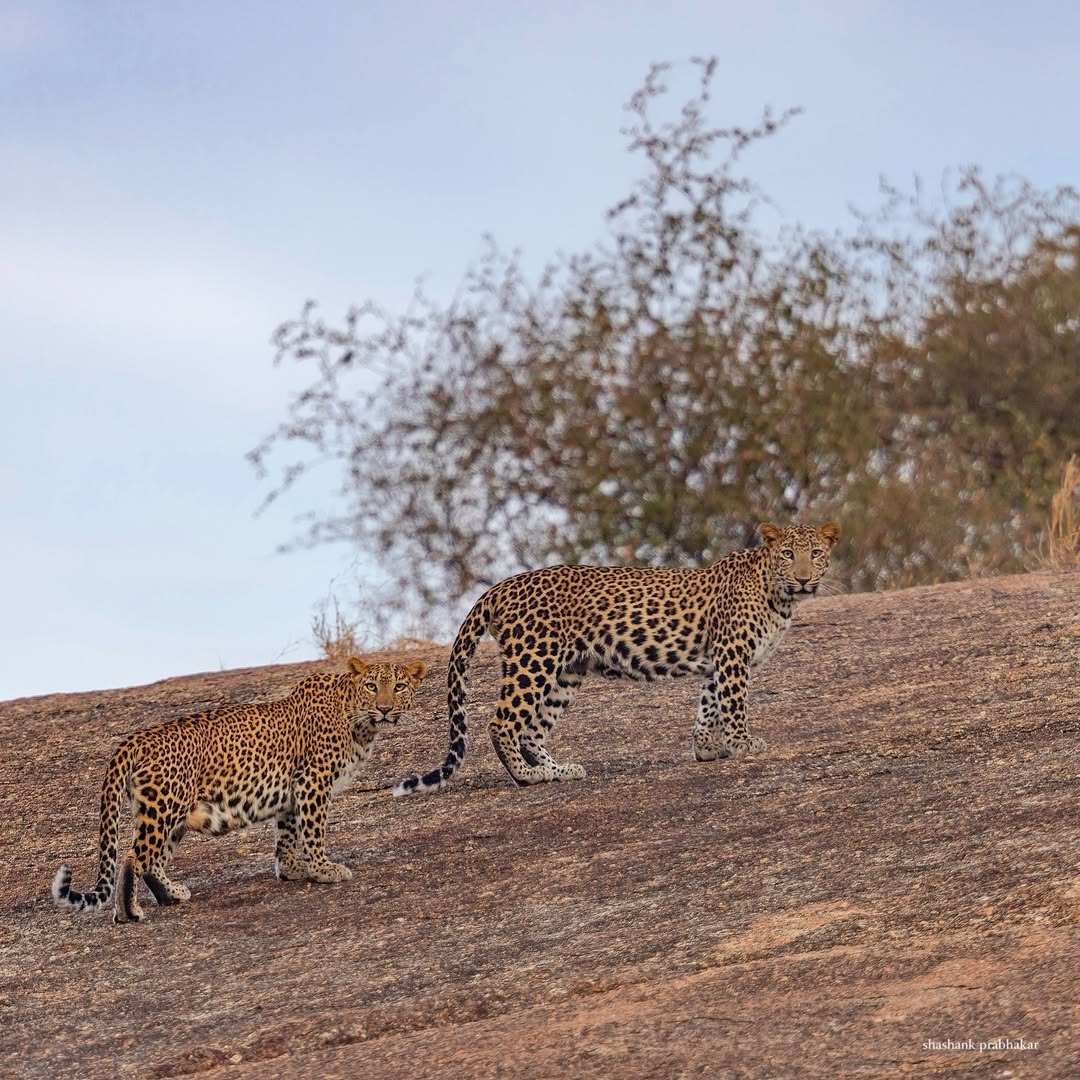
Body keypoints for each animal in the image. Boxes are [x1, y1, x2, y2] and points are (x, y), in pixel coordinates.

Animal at [52, 657, 426, 924]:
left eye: (400, 686)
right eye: (372, 686)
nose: (385, 708)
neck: (357, 720)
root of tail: (134, 739)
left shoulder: (293, 788)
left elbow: (287, 831)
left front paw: (290, 870)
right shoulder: (313, 781)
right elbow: (313, 830)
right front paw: (324, 870)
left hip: (169, 812)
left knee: (152, 859)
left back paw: (171, 895)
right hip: (165, 806)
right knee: (134, 857)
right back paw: (128, 913)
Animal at [393, 522, 838, 796]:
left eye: (816, 553)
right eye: (787, 554)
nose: (803, 578)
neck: (778, 593)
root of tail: (503, 585)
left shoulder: (719, 658)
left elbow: (709, 704)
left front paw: (708, 748)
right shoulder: (732, 654)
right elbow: (734, 703)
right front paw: (743, 743)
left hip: (566, 672)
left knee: (532, 730)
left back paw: (557, 770)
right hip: (533, 659)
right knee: (502, 722)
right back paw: (527, 776)